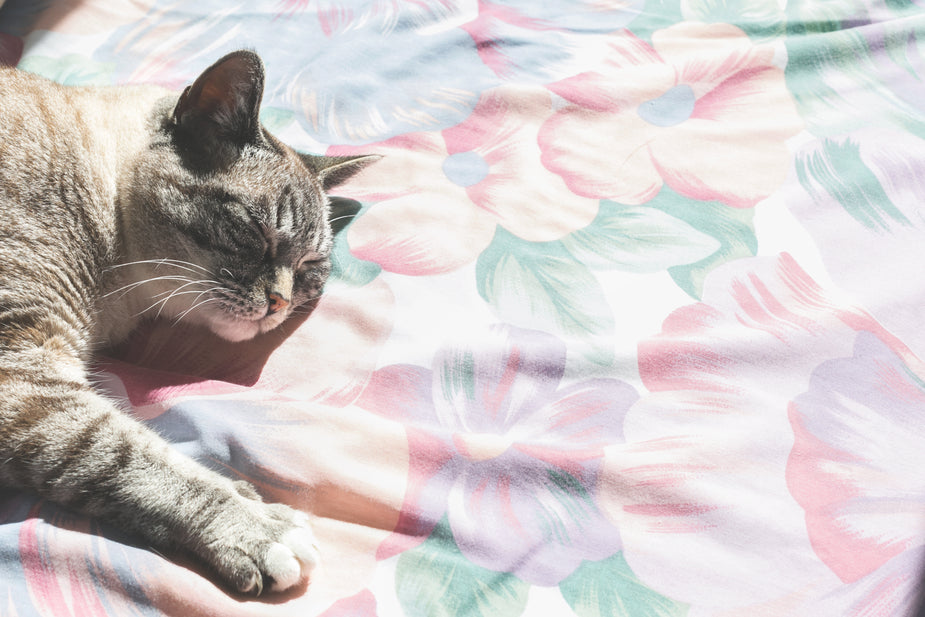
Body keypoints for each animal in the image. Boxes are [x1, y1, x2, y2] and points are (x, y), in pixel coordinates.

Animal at [0, 50, 378, 596]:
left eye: (310, 266)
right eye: (259, 234)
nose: (280, 302)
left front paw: (247, 497)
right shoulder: (23, 372)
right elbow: (131, 454)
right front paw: (258, 527)